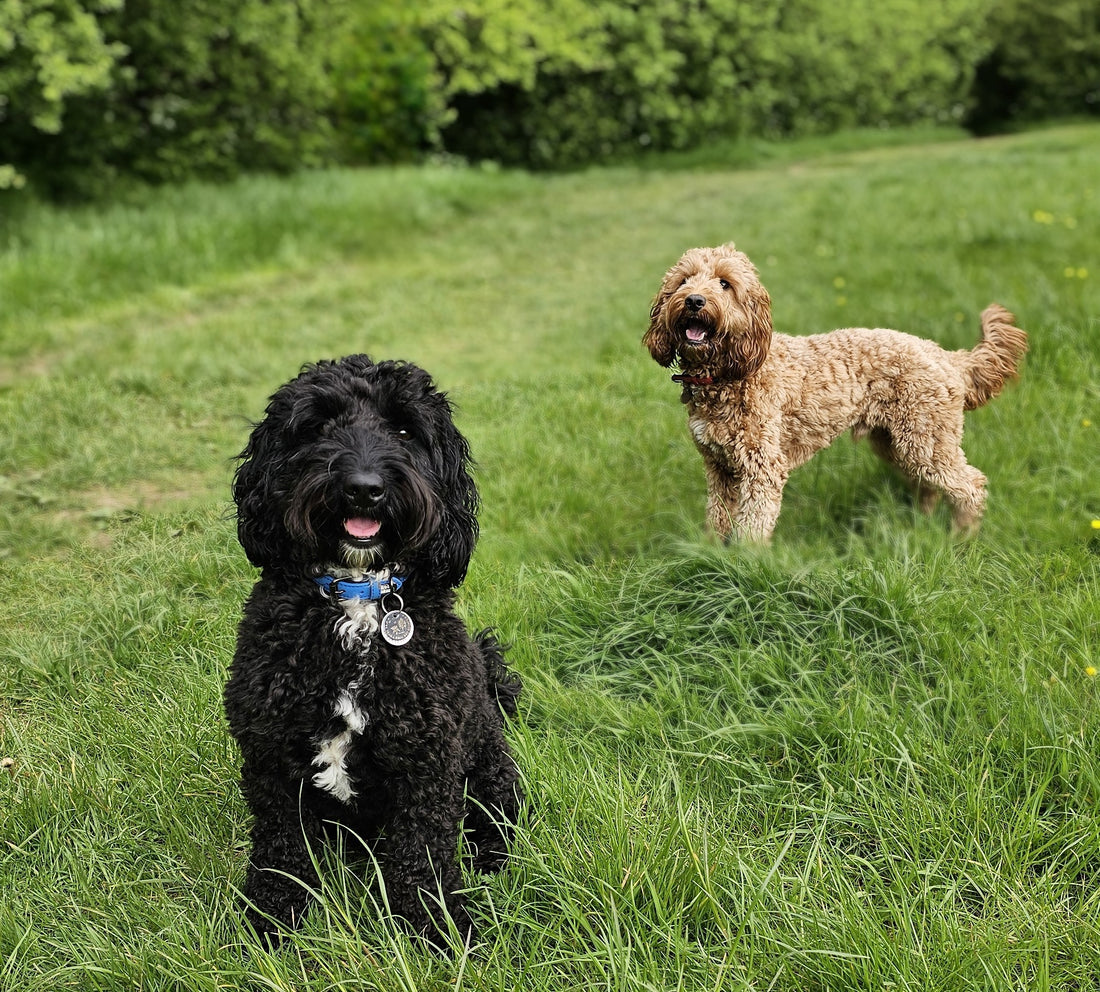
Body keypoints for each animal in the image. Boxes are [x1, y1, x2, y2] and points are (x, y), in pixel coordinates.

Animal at [223, 356, 523, 945]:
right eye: (318, 425)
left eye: (405, 430)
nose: (364, 489)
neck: (358, 599)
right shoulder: (271, 757)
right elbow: (280, 850)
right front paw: (272, 920)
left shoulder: (427, 765)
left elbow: (421, 857)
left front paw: (437, 928)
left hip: (489, 772)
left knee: (496, 823)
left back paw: (490, 861)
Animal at [642, 245, 1029, 547]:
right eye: (684, 280)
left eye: (725, 283)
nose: (694, 300)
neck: (726, 375)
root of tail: (946, 356)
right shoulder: (719, 467)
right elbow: (718, 519)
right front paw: (710, 555)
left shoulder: (761, 468)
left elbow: (752, 527)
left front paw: (743, 567)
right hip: (898, 442)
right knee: (930, 487)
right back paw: (920, 526)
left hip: (926, 440)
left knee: (971, 486)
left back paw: (961, 540)